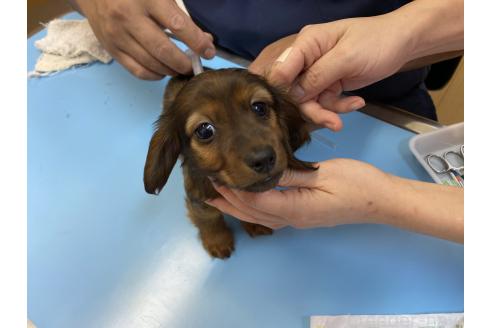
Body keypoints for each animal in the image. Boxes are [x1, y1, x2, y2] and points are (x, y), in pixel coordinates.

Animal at [144, 69, 318, 258]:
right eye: (205, 130)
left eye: (260, 107)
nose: (264, 159)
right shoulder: (198, 199)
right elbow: (209, 218)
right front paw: (217, 241)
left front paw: (253, 223)